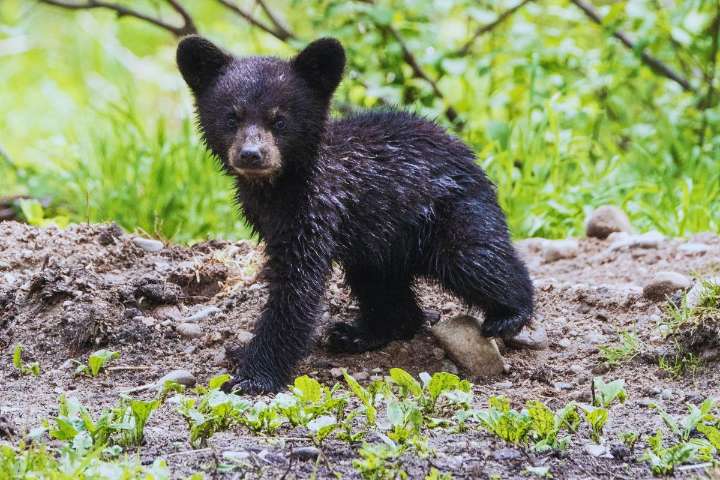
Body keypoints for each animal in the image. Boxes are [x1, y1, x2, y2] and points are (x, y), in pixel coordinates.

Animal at [176, 36, 534, 393]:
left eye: (279, 120)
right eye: (231, 117)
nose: (251, 155)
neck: (279, 188)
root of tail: (469, 154)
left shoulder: (316, 211)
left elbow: (297, 289)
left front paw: (253, 375)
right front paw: (243, 353)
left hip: (449, 210)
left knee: (475, 257)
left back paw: (510, 313)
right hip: (380, 241)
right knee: (380, 285)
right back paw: (359, 333)